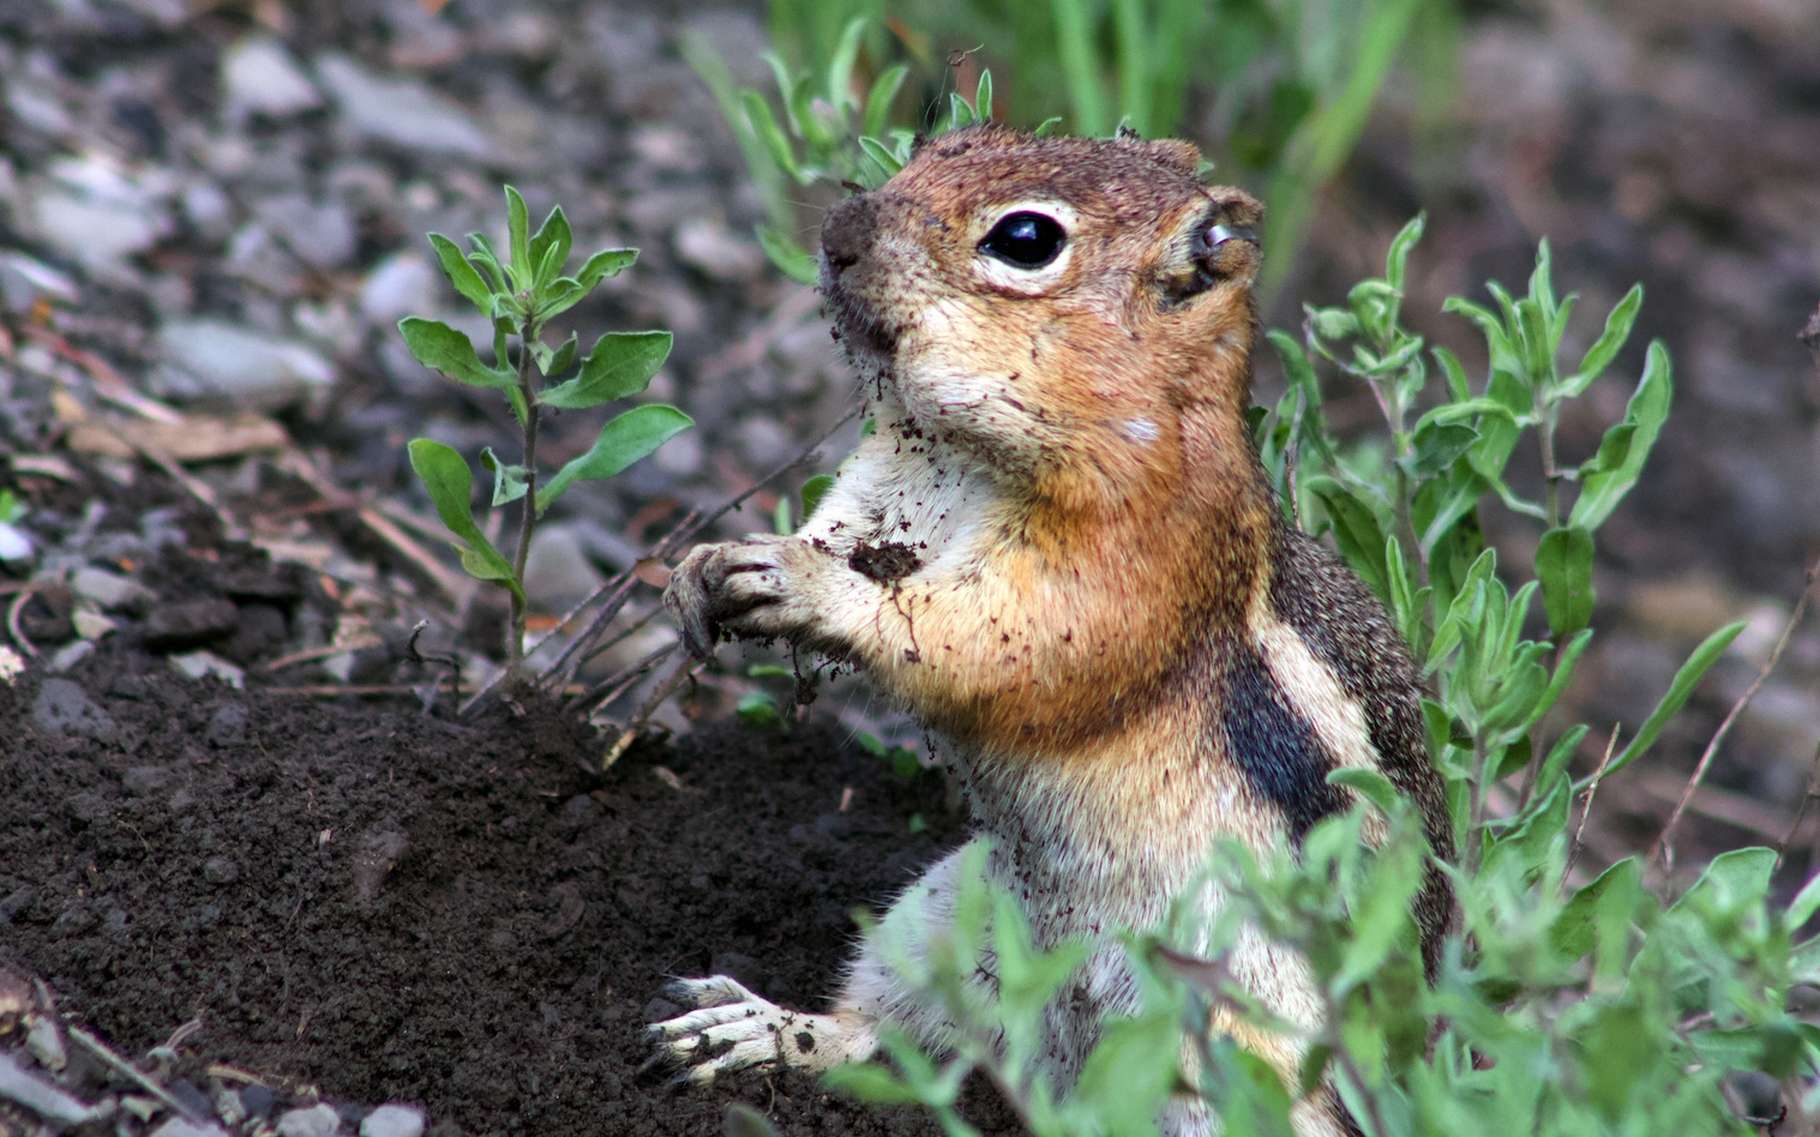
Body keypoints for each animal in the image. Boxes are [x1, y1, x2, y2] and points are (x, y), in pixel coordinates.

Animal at [647, 123, 1456, 1135]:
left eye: (1026, 239)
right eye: (941, 143)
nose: (837, 233)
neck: (967, 457)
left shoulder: (1124, 564)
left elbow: (990, 642)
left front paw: (812, 590)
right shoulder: (882, 487)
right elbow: (834, 530)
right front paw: (711, 563)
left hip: (1234, 1054)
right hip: (940, 917)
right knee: (885, 1040)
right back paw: (752, 1029)